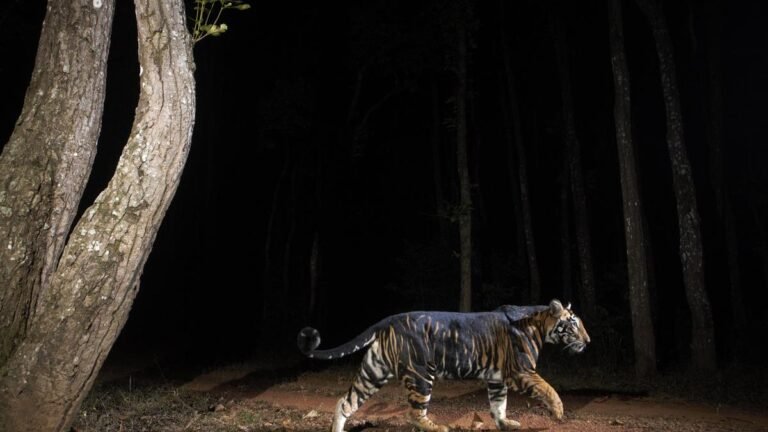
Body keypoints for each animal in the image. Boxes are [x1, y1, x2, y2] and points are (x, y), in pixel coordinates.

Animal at [297, 299, 590, 432]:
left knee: (346, 402)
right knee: (414, 413)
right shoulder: (521, 371)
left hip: (373, 371)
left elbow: (499, 404)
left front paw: (506, 422)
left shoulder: (497, 379)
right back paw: (438, 427)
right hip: (421, 375)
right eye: (574, 323)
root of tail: (389, 319)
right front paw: (558, 412)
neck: (540, 325)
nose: (588, 340)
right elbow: (548, 388)